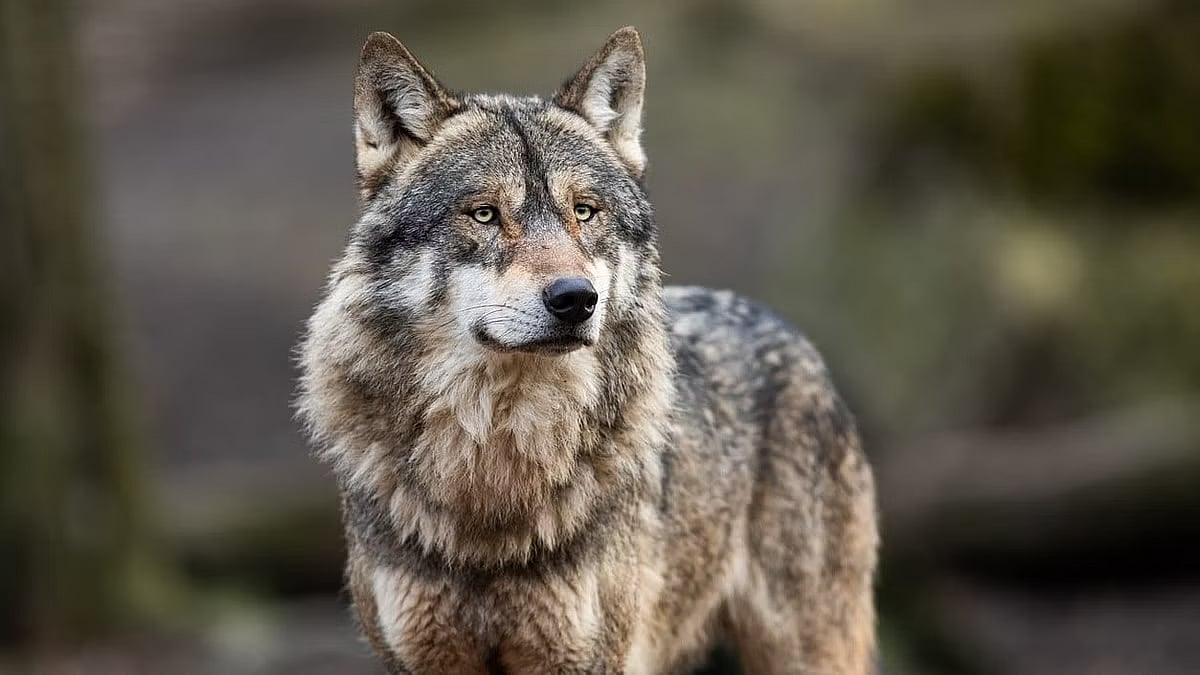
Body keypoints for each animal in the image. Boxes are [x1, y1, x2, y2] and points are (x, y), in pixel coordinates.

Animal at [296, 26, 878, 674]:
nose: (576, 298)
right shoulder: (420, 659)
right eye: (484, 214)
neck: (494, 473)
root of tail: (782, 326)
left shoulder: (585, 657)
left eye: (584, 211)